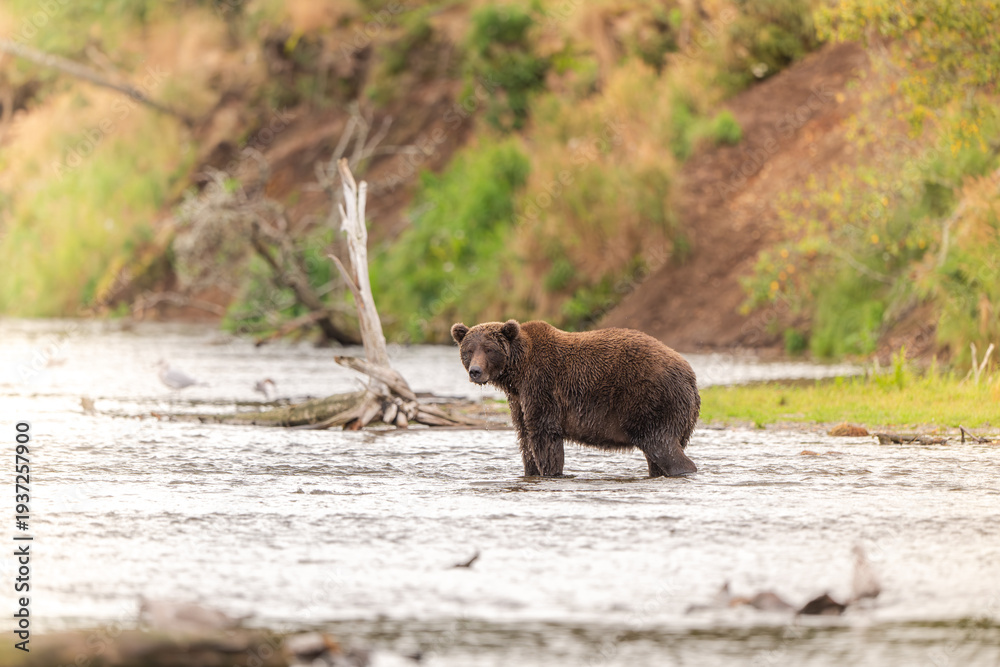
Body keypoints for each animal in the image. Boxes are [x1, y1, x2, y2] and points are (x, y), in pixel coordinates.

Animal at [451, 319, 699, 477]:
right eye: (469, 350)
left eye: (489, 349)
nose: (475, 371)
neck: (517, 373)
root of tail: (690, 375)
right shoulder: (518, 399)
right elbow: (525, 438)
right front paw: (531, 470)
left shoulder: (541, 386)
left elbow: (544, 435)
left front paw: (550, 472)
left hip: (651, 401)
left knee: (661, 446)